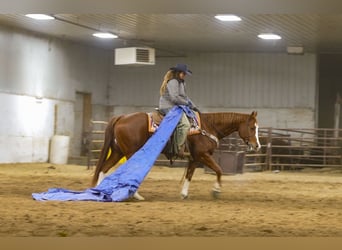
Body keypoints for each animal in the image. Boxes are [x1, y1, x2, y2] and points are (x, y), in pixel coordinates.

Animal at [92, 110, 260, 200]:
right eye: (252, 127)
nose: (257, 145)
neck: (207, 127)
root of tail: (121, 117)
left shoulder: (195, 158)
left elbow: (189, 175)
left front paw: (184, 194)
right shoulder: (203, 155)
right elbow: (219, 169)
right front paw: (216, 191)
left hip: (117, 151)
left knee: (104, 168)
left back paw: (99, 192)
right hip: (130, 152)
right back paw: (136, 196)